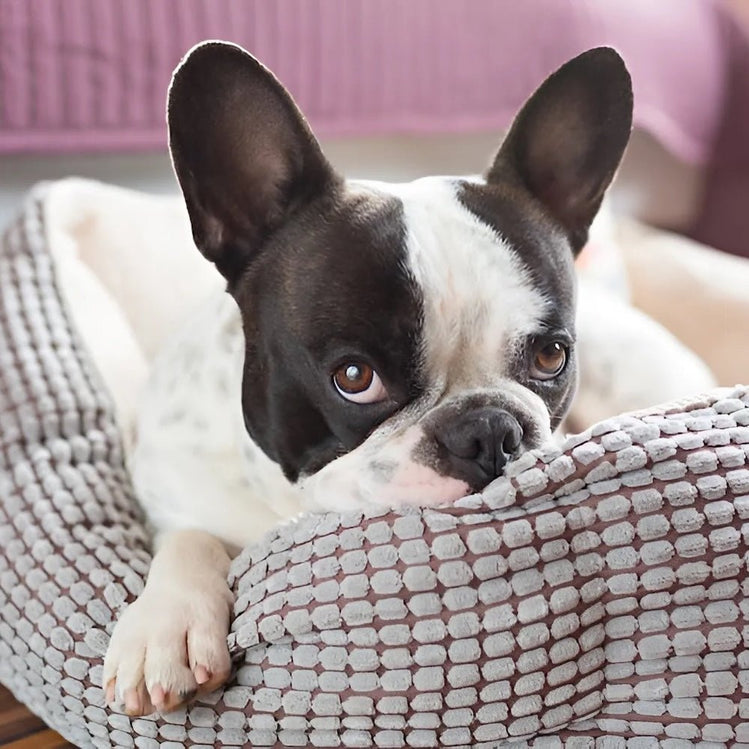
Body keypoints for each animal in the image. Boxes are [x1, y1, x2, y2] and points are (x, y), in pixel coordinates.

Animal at [102, 42, 652, 712]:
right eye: (354, 376)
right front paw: (168, 625)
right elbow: (188, 537)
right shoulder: (172, 491)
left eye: (551, 357)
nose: (490, 432)